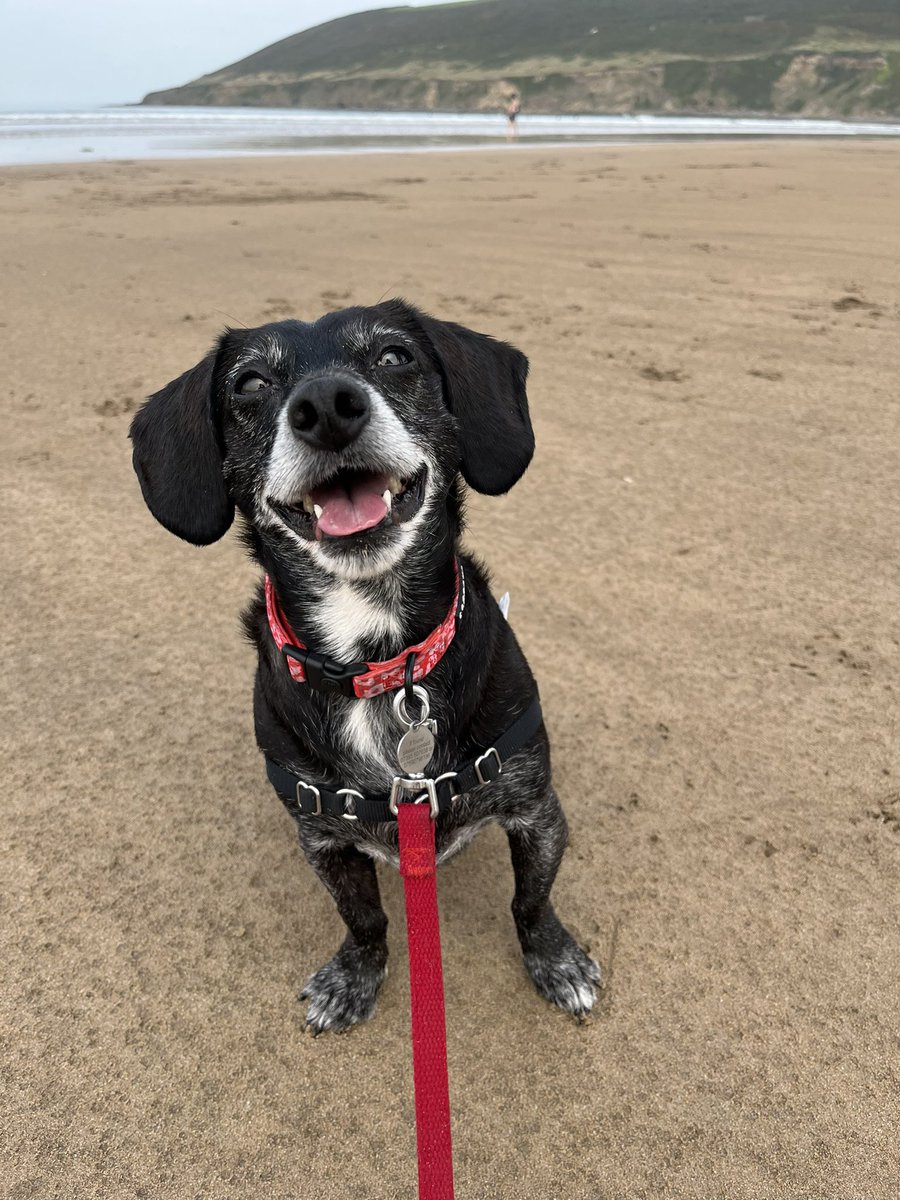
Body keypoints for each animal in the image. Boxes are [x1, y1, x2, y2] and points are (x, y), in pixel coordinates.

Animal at [130, 300, 602, 1032]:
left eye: (393, 356)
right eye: (250, 384)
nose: (327, 405)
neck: (378, 661)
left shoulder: (535, 809)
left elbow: (531, 899)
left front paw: (556, 959)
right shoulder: (323, 839)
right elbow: (364, 918)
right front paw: (354, 976)